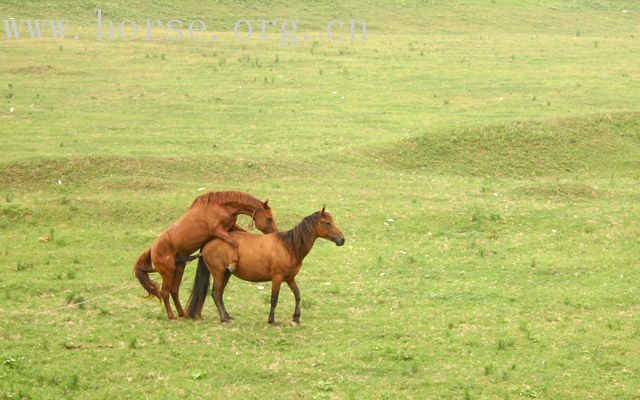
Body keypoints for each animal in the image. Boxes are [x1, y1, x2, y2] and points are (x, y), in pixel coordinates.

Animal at [134, 191, 276, 318]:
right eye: (269, 218)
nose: (275, 232)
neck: (221, 206)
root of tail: (152, 249)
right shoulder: (218, 231)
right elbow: (234, 242)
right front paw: (233, 264)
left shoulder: (230, 227)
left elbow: (242, 233)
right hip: (168, 273)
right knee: (164, 292)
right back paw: (171, 316)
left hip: (179, 268)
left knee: (174, 290)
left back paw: (182, 313)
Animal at [185, 206, 344, 324]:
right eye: (327, 223)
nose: (342, 239)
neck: (289, 247)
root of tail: (208, 242)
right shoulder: (277, 278)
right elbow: (274, 299)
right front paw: (272, 321)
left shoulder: (289, 278)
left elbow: (298, 295)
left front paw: (296, 319)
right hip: (218, 273)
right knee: (216, 294)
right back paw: (224, 319)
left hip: (226, 274)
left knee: (219, 294)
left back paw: (228, 316)